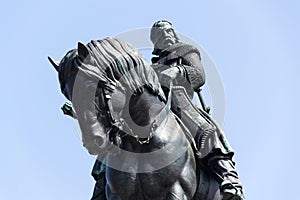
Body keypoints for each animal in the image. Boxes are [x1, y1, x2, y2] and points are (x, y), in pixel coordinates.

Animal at [48, 38, 219, 200]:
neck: (140, 140)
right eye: (68, 95)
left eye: (90, 88)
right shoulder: (118, 195)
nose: (92, 141)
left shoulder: (176, 190)